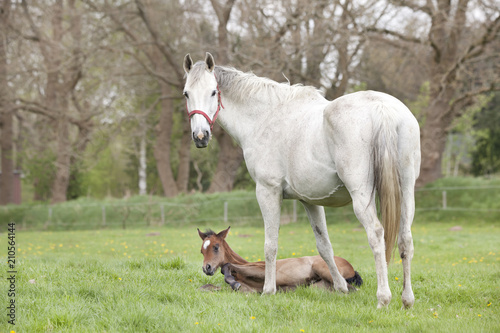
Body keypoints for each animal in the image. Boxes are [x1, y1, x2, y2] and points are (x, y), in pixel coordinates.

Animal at [197, 227, 362, 292]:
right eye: (201, 251)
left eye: (216, 247)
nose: (207, 268)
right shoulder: (249, 290)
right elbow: (205, 287)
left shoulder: (262, 272)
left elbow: (227, 266)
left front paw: (233, 282)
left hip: (322, 268)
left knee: (350, 288)